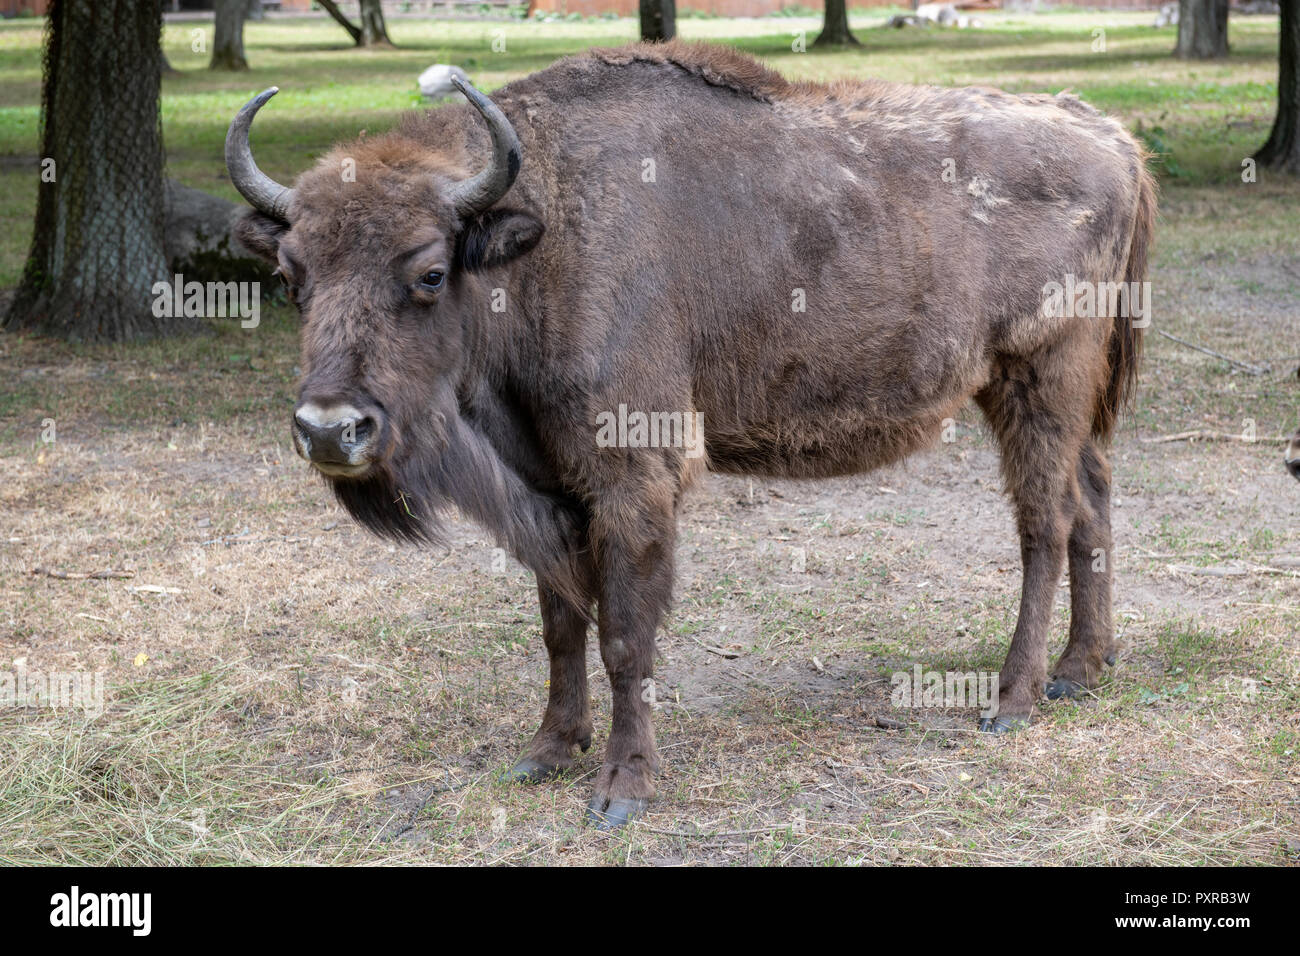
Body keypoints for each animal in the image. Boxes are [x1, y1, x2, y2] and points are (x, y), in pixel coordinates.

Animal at [226, 41, 1159, 827]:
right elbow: (560, 623)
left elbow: (624, 636)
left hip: (1039, 376)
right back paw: (1082, 671)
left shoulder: (634, 476)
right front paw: (545, 753)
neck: (541, 237)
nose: (329, 430)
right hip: (1050, 397)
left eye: (427, 271)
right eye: (292, 275)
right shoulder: (551, 488)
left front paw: (621, 789)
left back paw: (1013, 701)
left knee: (1046, 524)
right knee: (1094, 502)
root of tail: (1108, 133)